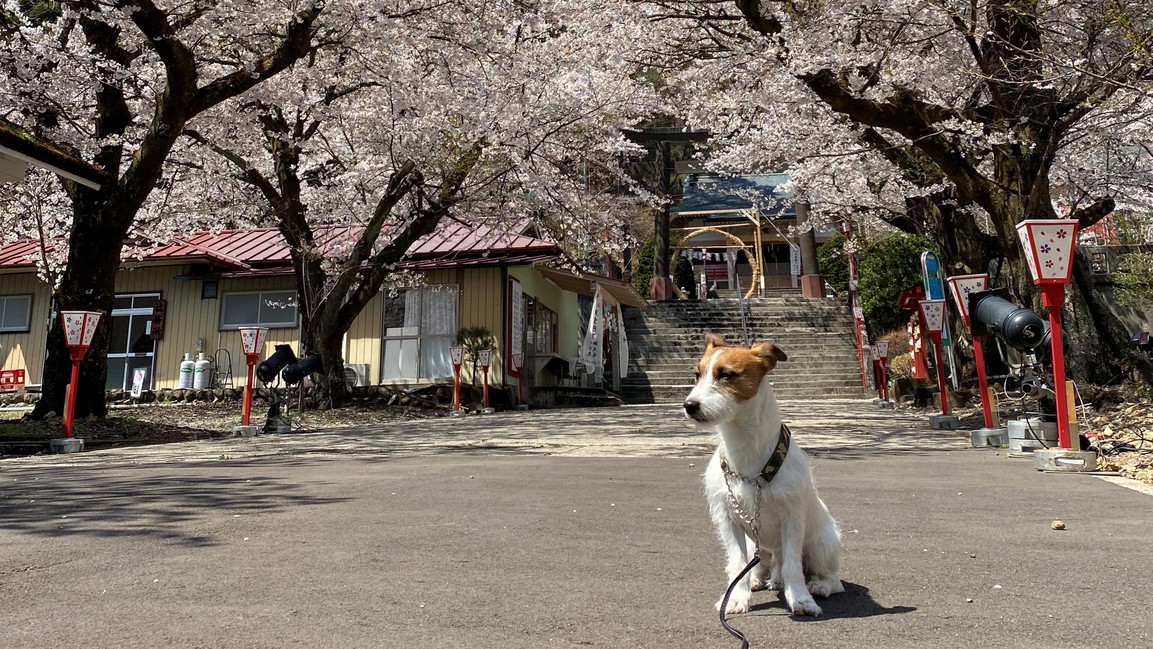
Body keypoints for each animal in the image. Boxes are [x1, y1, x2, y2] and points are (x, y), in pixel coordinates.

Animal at [677, 334, 843, 617]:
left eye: (726, 374)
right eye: (696, 374)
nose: (689, 406)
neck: (745, 448)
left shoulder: (792, 519)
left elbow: (793, 566)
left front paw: (801, 599)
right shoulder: (727, 520)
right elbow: (736, 563)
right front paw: (735, 598)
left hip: (821, 545)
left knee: (828, 577)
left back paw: (818, 585)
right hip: (755, 544)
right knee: (762, 564)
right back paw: (759, 579)